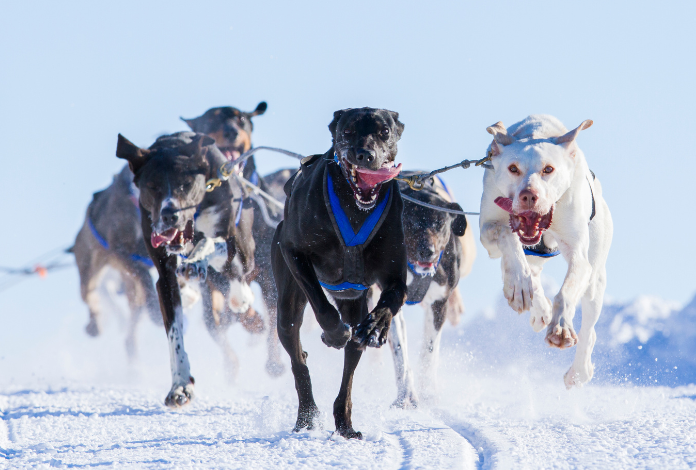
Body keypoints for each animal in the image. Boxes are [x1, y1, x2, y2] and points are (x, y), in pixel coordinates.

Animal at [270, 106, 406, 436]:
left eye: (384, 131)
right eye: (347, 131)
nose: (365, 154)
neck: (356, 210)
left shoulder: (396, 277)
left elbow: (388, 304)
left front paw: (376, 327)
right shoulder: (294, 253)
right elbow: (322, 307)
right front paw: (333, 333)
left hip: (355, 306)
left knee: (349, 372)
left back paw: (344, 422)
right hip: (287, 307)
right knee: (298, 360)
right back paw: (307, 415)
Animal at [478, 114, 616, 390]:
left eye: (548, 170)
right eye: (513, 168)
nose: (529, 196)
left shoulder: (578, 256)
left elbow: (566, 292)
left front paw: (561, 328)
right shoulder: (488, 230)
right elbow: (508, 237)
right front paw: (520, 287)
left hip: (595, 279)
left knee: (589, 329)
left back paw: (579, 371)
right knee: (530, 272)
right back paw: (535, 304)